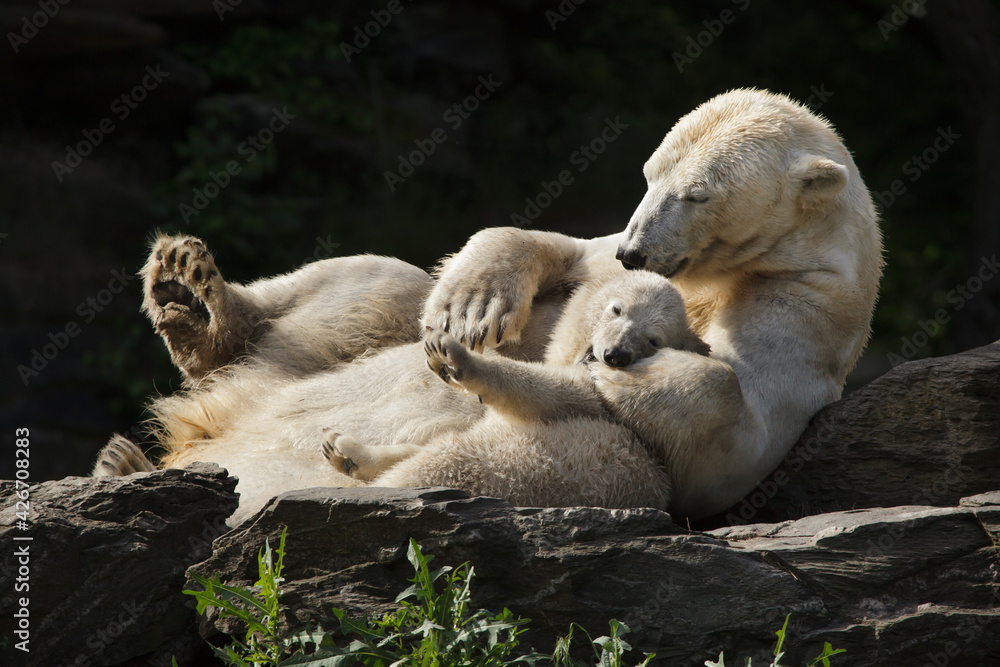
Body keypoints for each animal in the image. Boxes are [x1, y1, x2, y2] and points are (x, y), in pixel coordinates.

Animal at [324, 268, 708, 482]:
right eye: (617, 309)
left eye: (654, 340)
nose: (616, 354)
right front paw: (344, 450)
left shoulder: (603, 401)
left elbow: (544, 390)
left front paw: (450, 356)